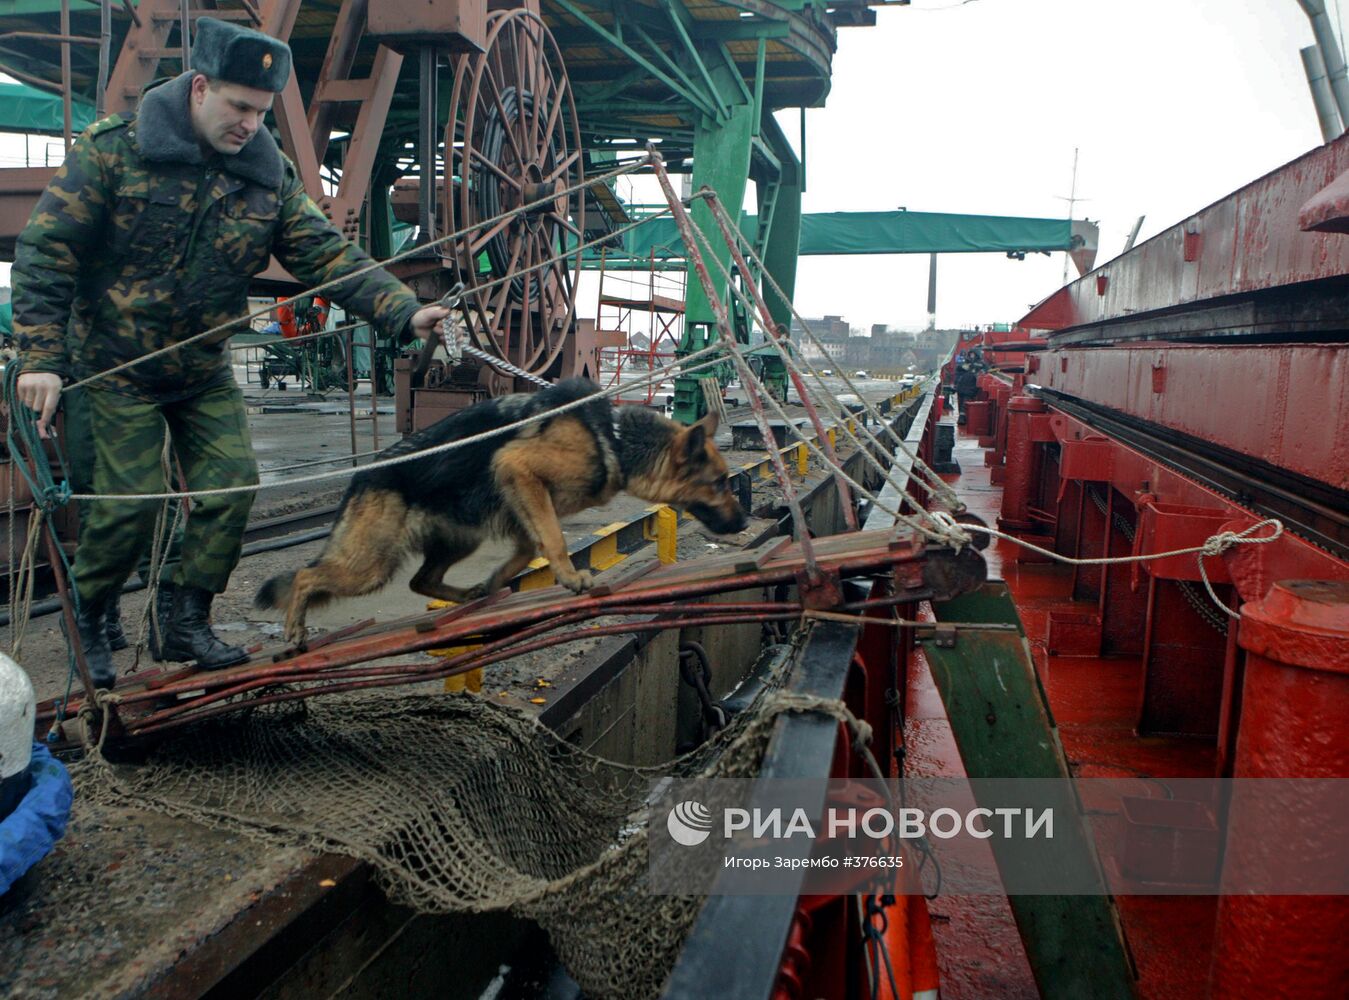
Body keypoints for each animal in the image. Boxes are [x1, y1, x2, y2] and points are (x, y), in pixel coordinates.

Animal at [254, 375, 750, 647]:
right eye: (720, 483)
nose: (746, 520)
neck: (612, 437)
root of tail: (361, 476)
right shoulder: (518, 469)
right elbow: (554, 539)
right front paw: (571, 577)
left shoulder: (521, 501)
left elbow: (530, 546)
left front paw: (499, 580)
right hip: (370, 564)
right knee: (306, 576)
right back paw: (294, 629)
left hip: (460, 539)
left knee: (421, 580)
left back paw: (471, 594)